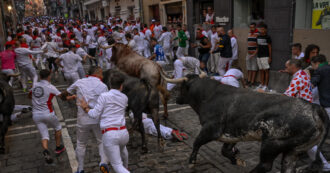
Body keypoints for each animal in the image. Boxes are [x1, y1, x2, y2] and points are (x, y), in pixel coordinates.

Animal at [174, 75, 328, 173]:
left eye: (181, 87)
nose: (176, 99)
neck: (208, 95)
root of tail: (315, 108)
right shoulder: (233, 133)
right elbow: (225, 151)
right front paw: (237, 160)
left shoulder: (211, 129)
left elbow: (197, 142)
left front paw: (191, 162)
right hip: (293, 150)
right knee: (287, 167)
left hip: (272, 144)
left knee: (265, 165)